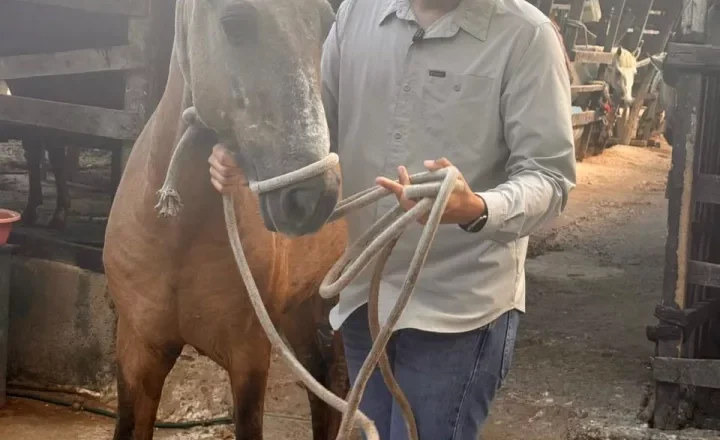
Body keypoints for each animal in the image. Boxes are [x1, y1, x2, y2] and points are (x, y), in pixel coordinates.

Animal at [103, 0, 348, 439]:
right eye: (234, 22)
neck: (176, 238)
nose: (312, 197)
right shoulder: (137, 349)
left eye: (325, 23)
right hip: (302, 308)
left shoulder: (248, 356)